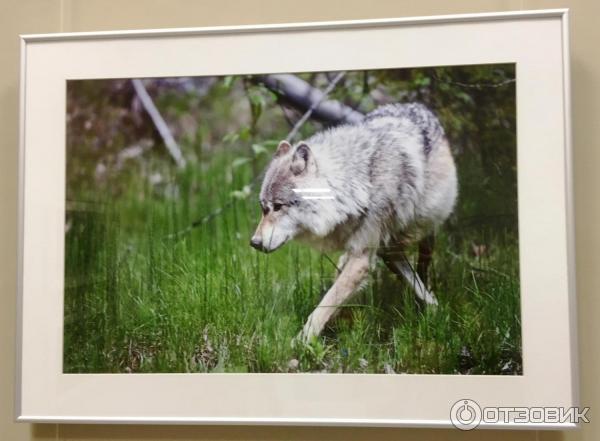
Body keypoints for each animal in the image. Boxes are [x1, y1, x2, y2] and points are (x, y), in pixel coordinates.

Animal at [251, 103, 458, 340]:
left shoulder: (361, 258)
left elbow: (326, 302)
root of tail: (418, 105)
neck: (360, 181)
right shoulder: (366, 252)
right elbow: (333, 296)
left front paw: (301, 341)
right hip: (389, 250)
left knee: (422, 268)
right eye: (263, 208)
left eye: (278, 206)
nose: (254, 242)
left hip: (425, 232)